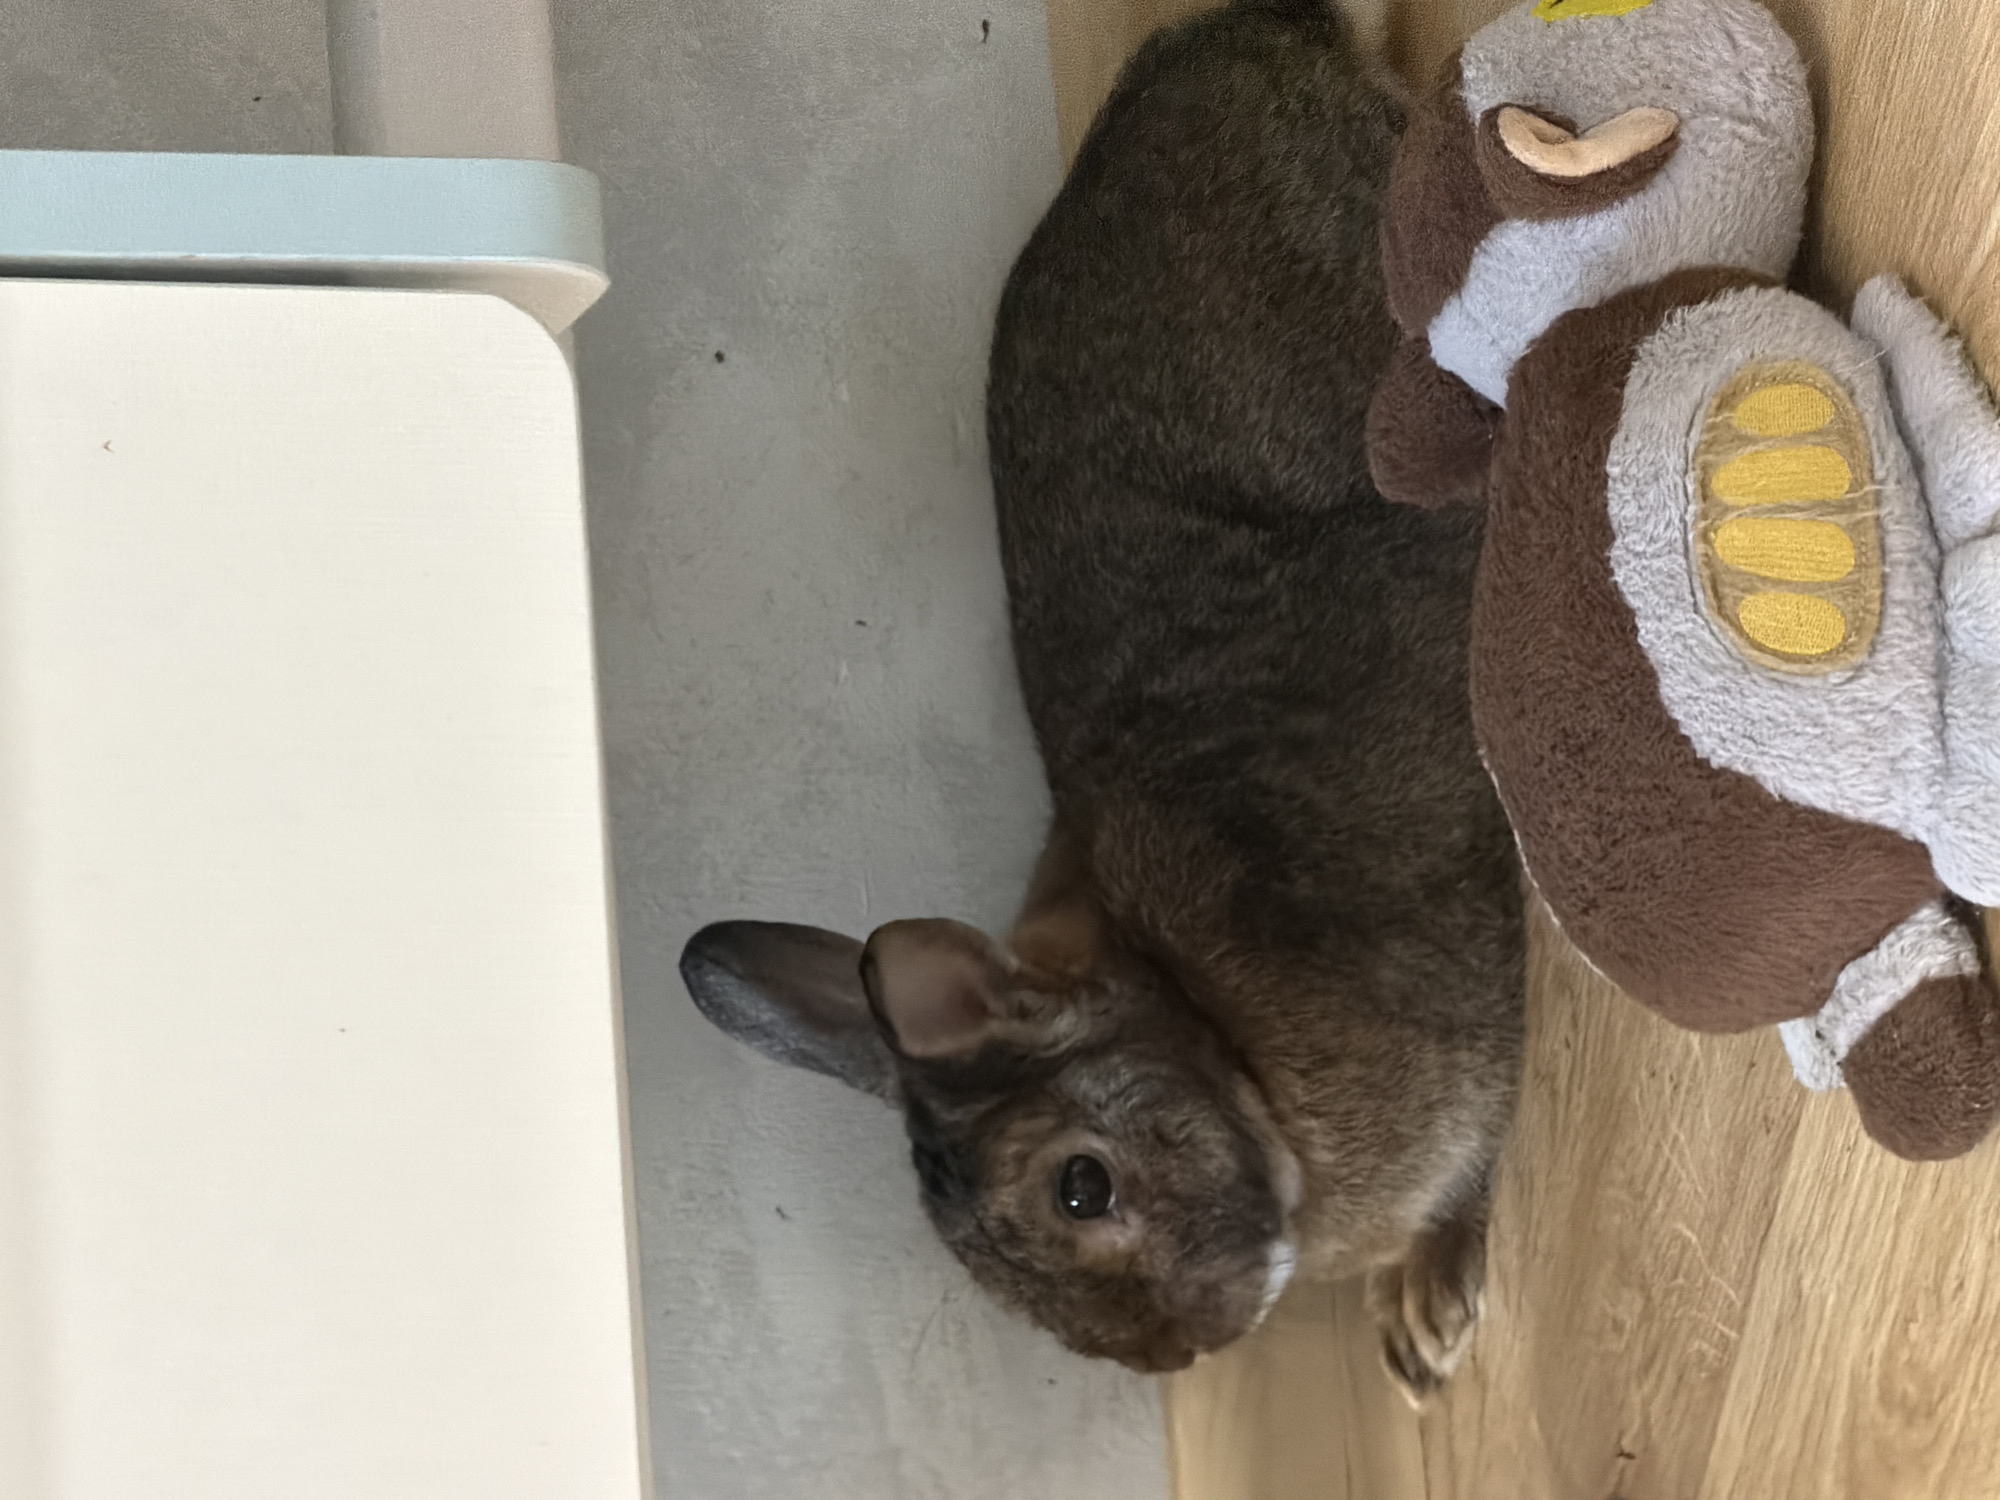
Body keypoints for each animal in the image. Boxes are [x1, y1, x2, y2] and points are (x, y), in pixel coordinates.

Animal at [679, 0, 1524, 1399]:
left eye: (1082, 1189)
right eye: (996, 1286)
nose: (1180, 1353)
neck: (1218, 1043)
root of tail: (1241, 34)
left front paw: (1427, 1313)